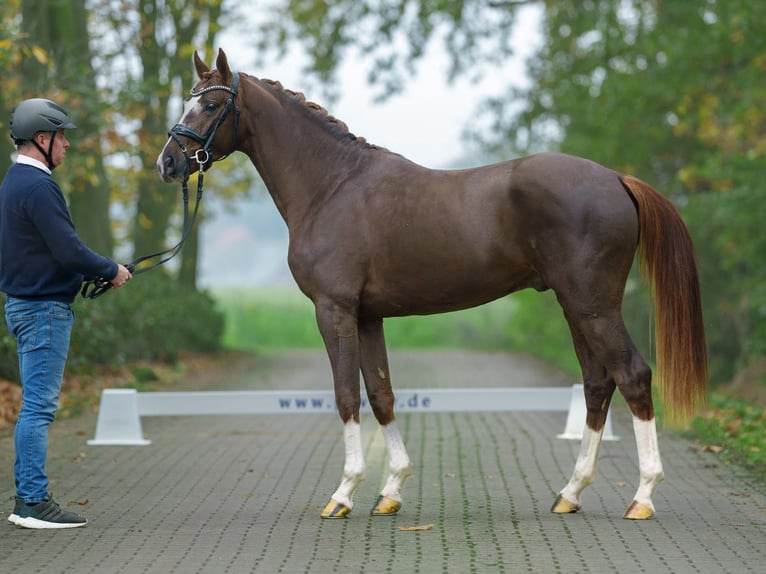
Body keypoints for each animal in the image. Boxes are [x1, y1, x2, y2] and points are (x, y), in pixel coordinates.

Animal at [158, 50, 712, 520]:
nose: (169, 162)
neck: (332, 185)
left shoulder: (334, 309)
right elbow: (381, 393)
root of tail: (617, 179)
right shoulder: (368, 315)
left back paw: (642, 497)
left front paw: (344, 493)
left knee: (633, 375)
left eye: (211, 103)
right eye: (189, 97)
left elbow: (345, 395)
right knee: (599, 384)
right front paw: (391, 490)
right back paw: (570, 494)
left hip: (593, 305)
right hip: (576, 306)